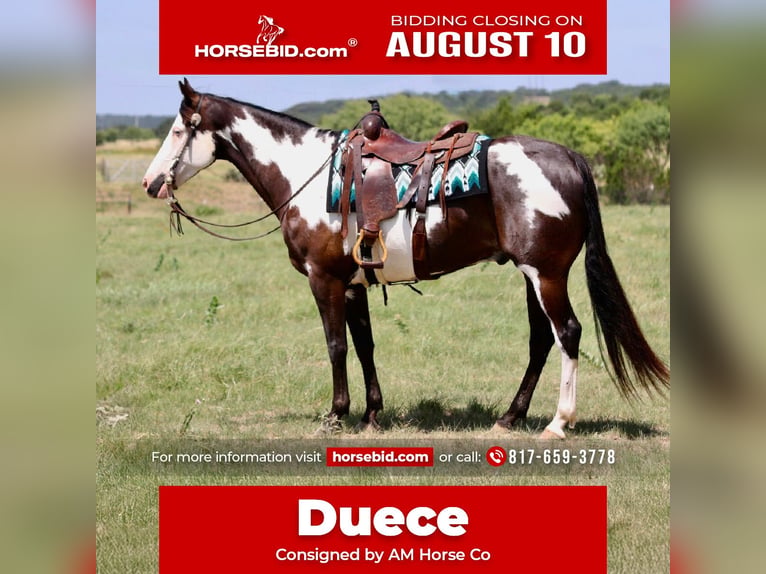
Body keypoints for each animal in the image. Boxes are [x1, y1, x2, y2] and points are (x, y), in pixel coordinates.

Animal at [142, 78, 669, 438]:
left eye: (178, 130)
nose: (150, 182)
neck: (306, 176)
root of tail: (569, 158)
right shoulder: (353, 283)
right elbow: (364, 346)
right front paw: (372, 413)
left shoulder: (324, 279)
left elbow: (335, 346)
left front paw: (336, 414)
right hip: (533, 275)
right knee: (542, 340)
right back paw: (509, 416)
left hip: (546, 275)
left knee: (568, 333)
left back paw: (559, 422)